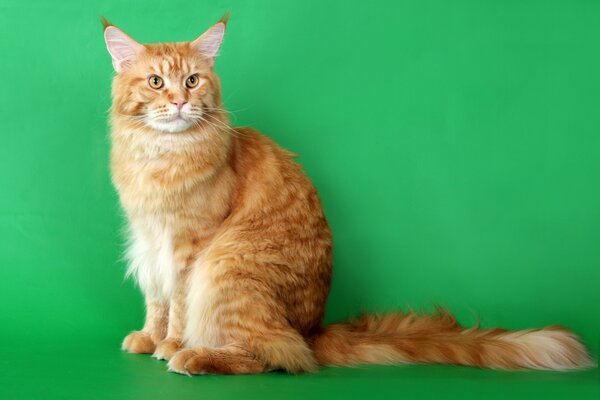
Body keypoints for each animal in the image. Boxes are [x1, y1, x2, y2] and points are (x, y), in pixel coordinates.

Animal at [102, 14, 592, 372]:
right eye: (156, 83)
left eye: (192, 81)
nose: (179, 103)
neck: (159, 155)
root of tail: (315, 328)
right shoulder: (149, 239)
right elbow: (157, 298)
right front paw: (149, 336)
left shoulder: (191, 243)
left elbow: (179, 303)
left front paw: (168, 342)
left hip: (227, 266)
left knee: (277, 356)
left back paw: (193, 355)